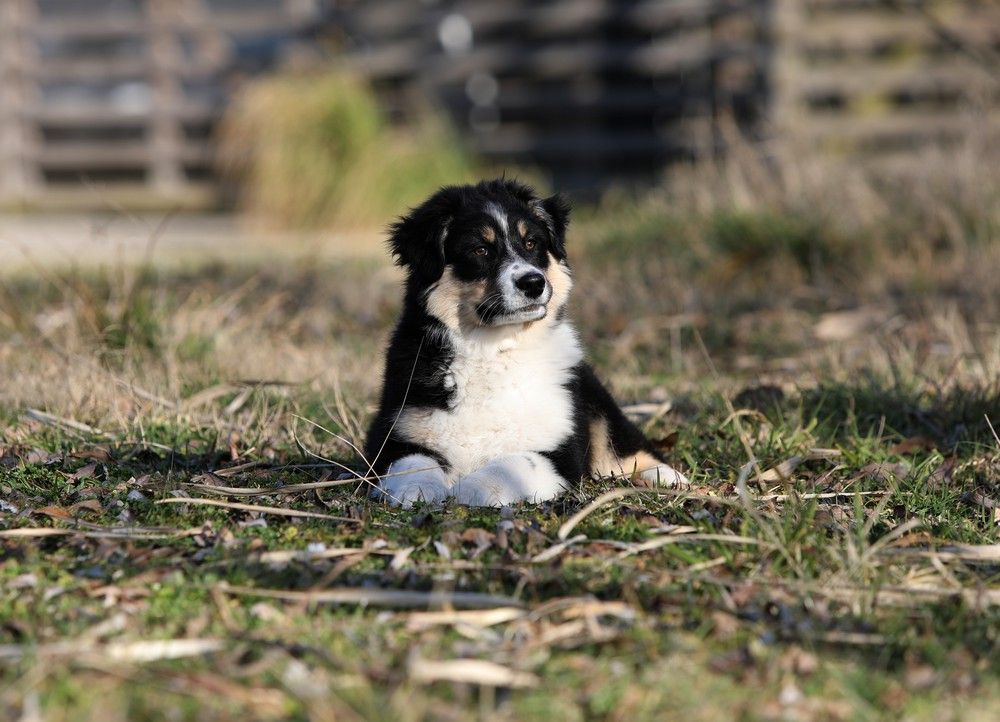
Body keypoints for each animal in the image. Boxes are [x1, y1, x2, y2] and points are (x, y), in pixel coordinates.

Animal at [366, 179, 688, 506]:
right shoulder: (395, 432)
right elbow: (412, 463)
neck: (495, 348)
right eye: (480, 250)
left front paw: (466, 489)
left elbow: (513, 464)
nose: (533, 283)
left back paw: (667, 477)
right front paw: (415, 491)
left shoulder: (561, 449)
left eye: (532, 243)